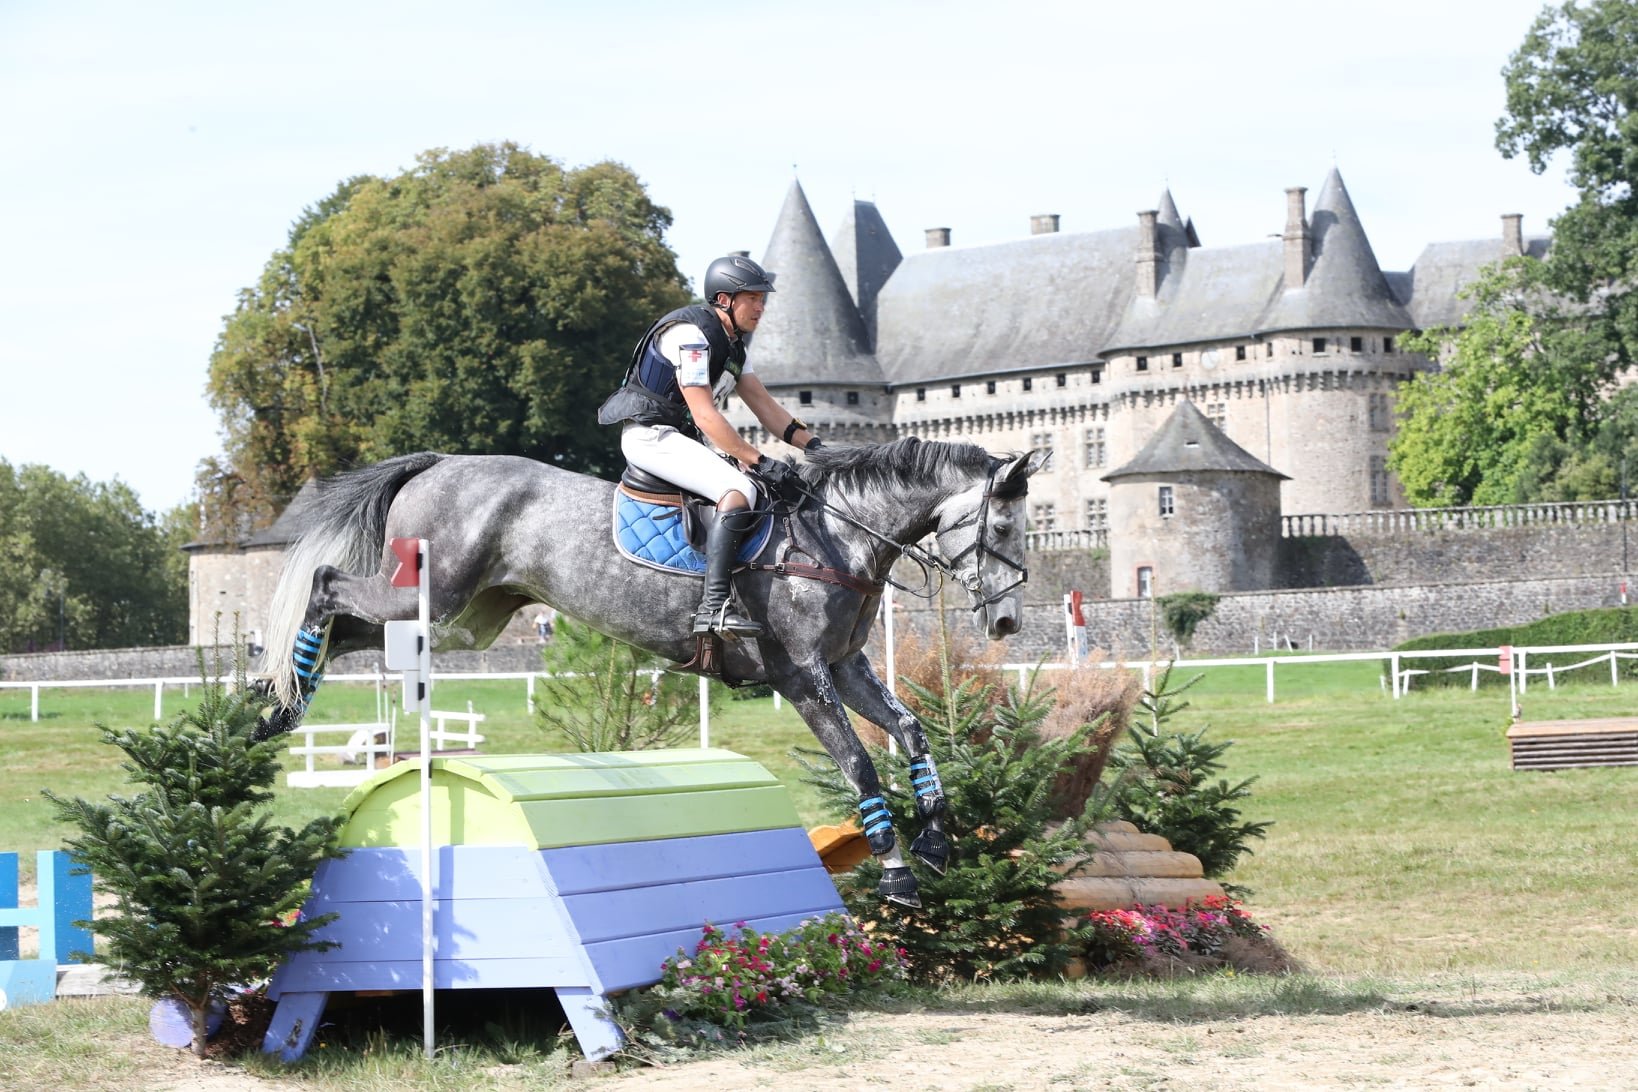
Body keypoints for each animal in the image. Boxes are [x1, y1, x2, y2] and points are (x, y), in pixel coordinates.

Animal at [255, 437, 1047, 907]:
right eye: (1005, 528)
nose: (1008, 625)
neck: (837, 535)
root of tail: (439, 462)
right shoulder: (803, 678)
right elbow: (858, 763)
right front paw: (898, 874)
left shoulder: (846, 666)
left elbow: (912, 732)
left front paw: (937, 840)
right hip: (435, 592)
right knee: (325, 586)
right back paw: (278, 702)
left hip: (463, 619)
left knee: (351, 626)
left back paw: (281, 706)